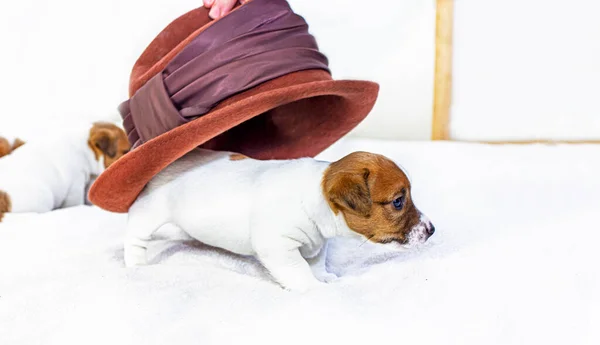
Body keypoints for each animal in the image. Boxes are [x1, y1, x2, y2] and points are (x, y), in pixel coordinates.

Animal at [125, 149, 436, 292]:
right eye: (398, 201)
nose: (432, 230)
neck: (314, 195)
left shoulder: (317, 243)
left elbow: (316, 262)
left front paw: (323, 277)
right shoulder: (277, 246)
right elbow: (298, 269)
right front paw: (312, 288)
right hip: (149, 212)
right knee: (135, 236)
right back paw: (136, 264)